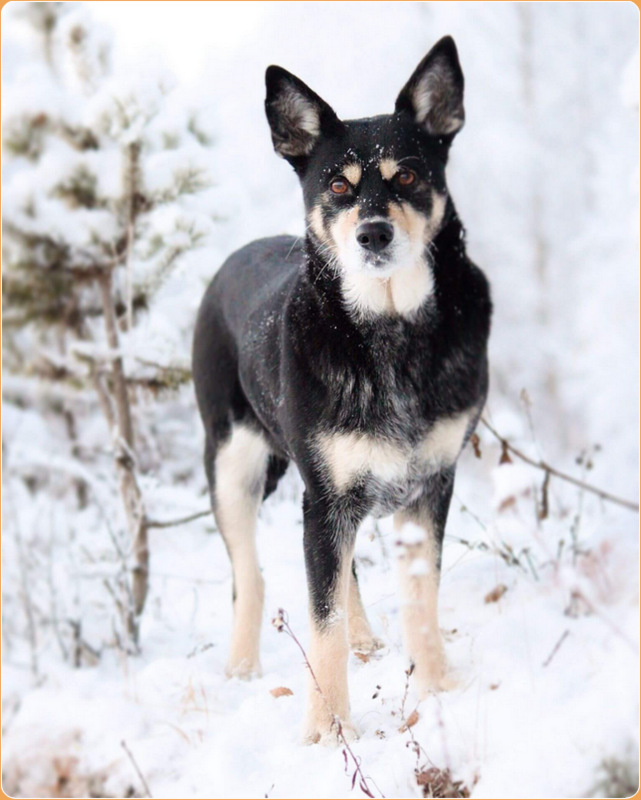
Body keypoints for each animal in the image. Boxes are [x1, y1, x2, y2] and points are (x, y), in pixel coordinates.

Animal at [190, 32, 490, 744]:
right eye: (336, 184)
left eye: (407, 175)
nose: (373, 233)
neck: (389, 331)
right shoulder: (325, 499)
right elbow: (318, 618)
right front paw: (327, 733)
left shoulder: (427, 486)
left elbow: (420, 599)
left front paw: (438, 691)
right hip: (233, 465)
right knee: (251, 574)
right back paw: (241, 666)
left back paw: (364, 642)